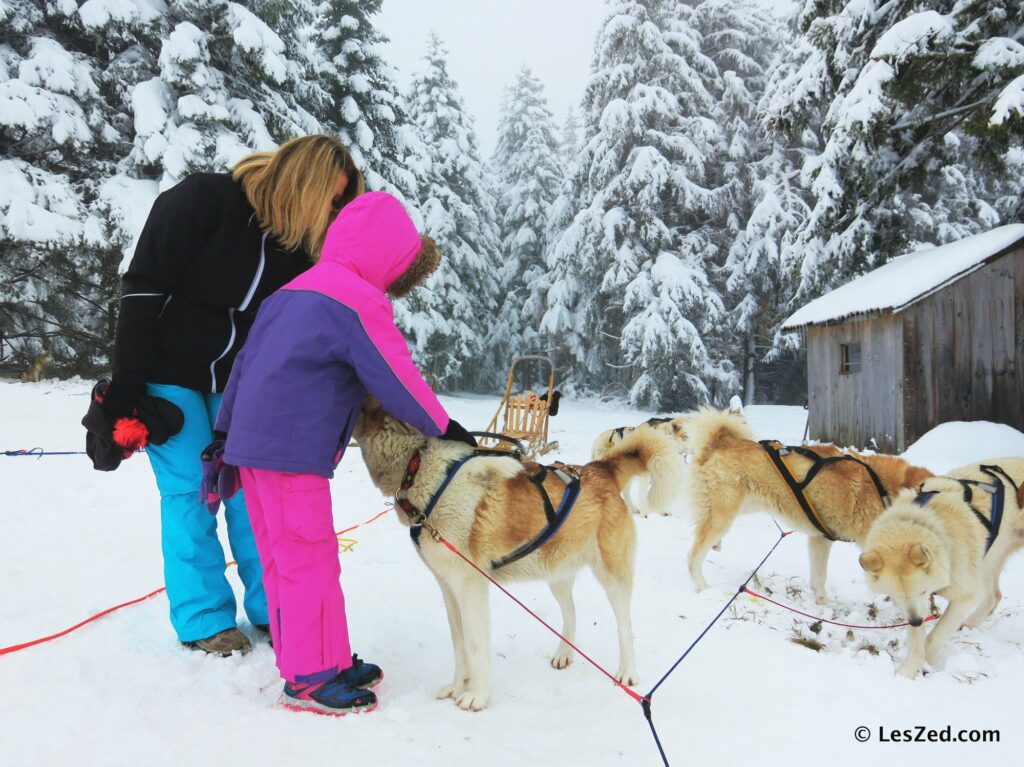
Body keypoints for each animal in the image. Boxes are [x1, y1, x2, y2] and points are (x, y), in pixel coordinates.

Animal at [356, 397, 684, 708]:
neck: (427, 475)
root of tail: (600, 469)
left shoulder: (470, 587)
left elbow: (475, 646)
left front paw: (476, 696)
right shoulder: (448, 587)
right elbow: (459, 645)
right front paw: (458, 686)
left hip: (612, 576)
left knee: (625, 625)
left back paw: (627, 672)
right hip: (556, 574)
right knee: (571, 612)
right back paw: (565, 653)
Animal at [684, 407, 933, 606]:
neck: (884, 488)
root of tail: (720, 440)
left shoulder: (820, 539)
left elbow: (819, 576)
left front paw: (822, 603)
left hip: (738, 509)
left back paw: (716, 546)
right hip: (723, 515)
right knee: (693, 555)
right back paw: (703, 587)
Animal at [856, 454, 1024, 675]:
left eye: (921, 591)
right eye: (896, 595)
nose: (916, 621)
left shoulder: (964, 596)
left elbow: (936, 635)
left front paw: (929, 660)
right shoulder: (914, 606)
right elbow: (917, 640)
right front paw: (908, 671)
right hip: (988, 561)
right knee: (993, 597)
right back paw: (969, 624)